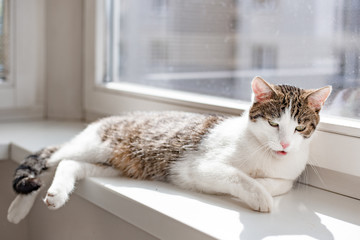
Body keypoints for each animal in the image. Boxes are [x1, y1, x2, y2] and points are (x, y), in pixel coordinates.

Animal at [6, 76, 332, 223]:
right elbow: (238, 177)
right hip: (93, 144)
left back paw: (54, 195)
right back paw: (20, 208)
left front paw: (264, 184)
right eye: (274, 123)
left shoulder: (288, 175)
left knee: (71, 165)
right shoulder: (200, 168)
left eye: (300, 127)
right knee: (54, 158)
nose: (285, 144)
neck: (267, 156)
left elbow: (280, 184)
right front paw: (260, 195)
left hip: (110, 165)